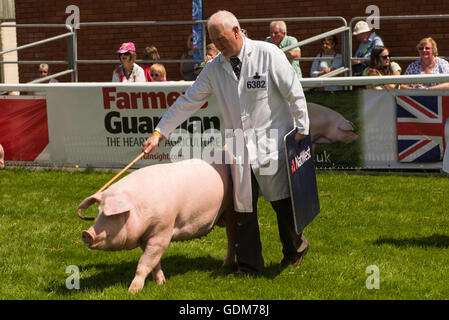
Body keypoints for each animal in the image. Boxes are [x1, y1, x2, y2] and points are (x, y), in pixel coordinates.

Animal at [78, 158, 236, 292]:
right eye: (99, 212)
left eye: (110, 215)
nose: (86, 233)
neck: (139, 209)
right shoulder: (145, 237)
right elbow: (154, 262)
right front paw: (160, 283)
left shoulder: (162, 230)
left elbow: (144, 263)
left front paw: (132, 291)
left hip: (230, 211)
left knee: (231, 239)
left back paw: (225, 265)